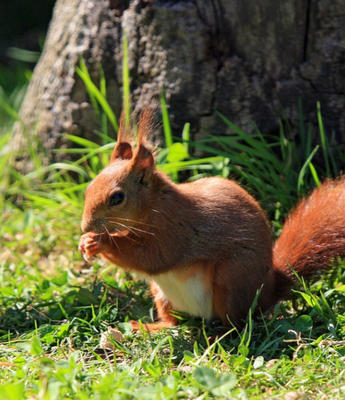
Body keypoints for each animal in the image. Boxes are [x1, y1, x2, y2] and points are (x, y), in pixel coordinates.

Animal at [78, 110, 344, 332]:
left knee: (237, 323)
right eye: (89, 188)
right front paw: (85, 242)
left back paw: (220, 336)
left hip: (231, 279)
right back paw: (150, 327)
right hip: (162, 294)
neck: (153, 204)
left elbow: (151, 257)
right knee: (173, 322)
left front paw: (100, 242)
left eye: (117, 197)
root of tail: (269, 289)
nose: (85, 226)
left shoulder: (173, 228)